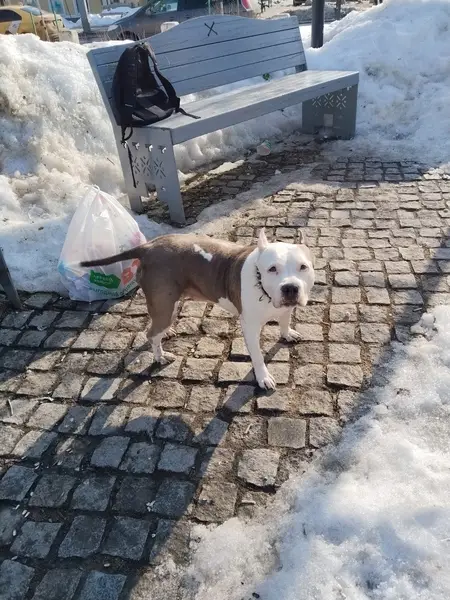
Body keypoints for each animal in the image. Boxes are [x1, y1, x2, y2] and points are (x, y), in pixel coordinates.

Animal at [80, 228, 314, 390]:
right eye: (272, 269)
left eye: (303, 267)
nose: (290, 288)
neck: (262, 286)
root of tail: (149, 247)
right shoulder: (250, 327)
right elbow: (257, 356)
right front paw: (263, 377)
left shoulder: (286, 310)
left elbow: (285, 321)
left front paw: (286, 333)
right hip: (164, 304)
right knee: (151, 334)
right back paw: (160, 356)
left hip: (167, 303)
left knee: (155, 325)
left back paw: (167, 333)